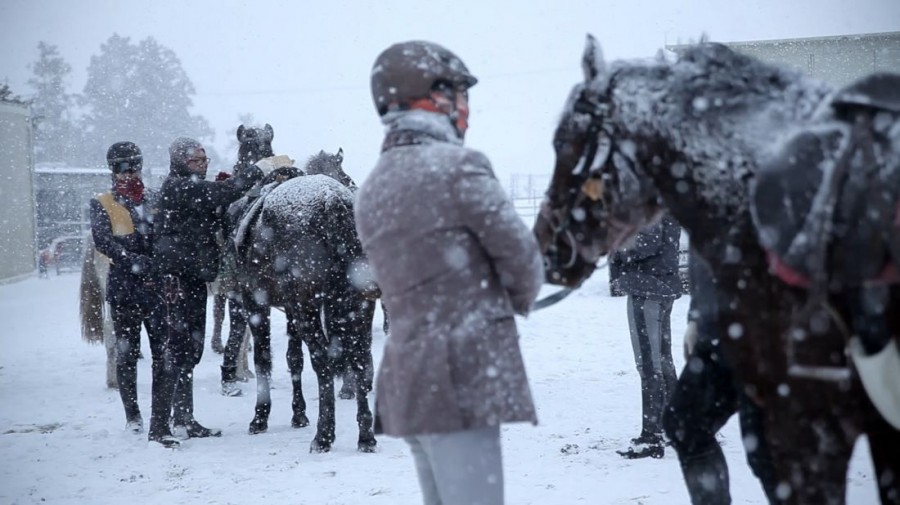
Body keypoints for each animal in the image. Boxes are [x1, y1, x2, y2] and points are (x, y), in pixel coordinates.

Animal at [231, 143, 378, 453]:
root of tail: (332, 201)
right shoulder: (290, 309)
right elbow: (293, 358)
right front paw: (298, 413)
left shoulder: (256, 302)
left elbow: (264, 358)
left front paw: (260, 416)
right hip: (358, 304)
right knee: (360, 358)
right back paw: (366, 435)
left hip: (306, 306)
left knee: (323, 362)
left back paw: (324, 434)